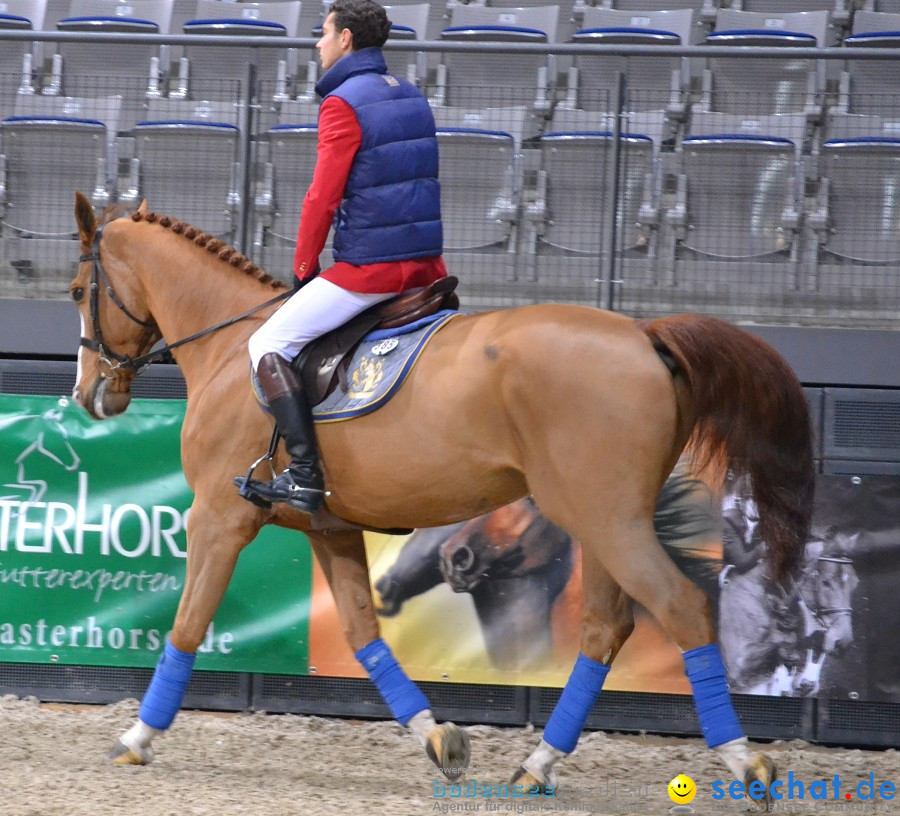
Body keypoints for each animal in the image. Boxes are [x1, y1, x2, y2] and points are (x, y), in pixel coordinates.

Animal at [70, 193, 816, 804]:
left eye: (79, 289)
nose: (89, 395)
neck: (230, 348)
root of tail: (643, 334)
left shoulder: (219, 519)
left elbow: (188, 624)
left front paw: (137, 738)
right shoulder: (331, 529)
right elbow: (364, 635)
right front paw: (438, 738)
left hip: (608, 521)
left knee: (683, 608)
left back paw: (745, 762)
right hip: (606, 524)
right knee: (607, 630)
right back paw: (537, 766)